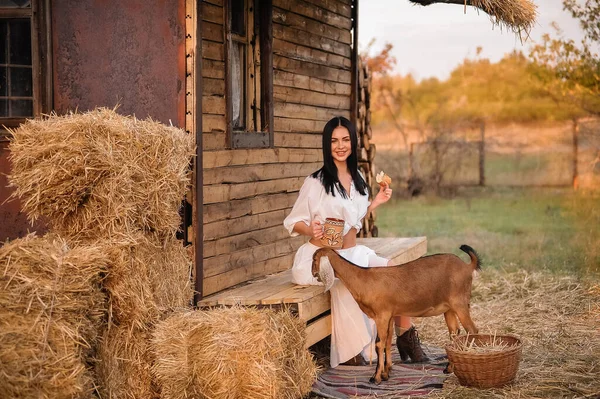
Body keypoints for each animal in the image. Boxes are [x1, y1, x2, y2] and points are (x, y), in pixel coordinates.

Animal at [312, 245, 480, 386]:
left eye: (314, 259)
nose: (314, 274)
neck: (364, 279)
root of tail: (467, 266)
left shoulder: (382, 315)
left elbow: (379, 344)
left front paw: (376, 377)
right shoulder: (390, 315)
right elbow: (387, 342)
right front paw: (387, 373)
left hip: (460, 303)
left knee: (472, 330)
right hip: (449, 309)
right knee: (454, 334)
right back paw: (448, 369)